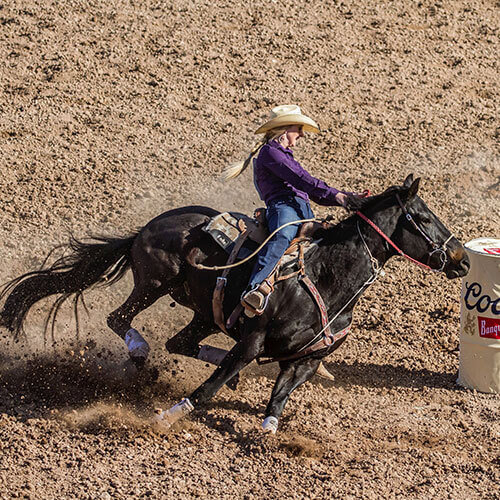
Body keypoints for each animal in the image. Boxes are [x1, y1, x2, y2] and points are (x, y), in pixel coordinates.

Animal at [0, 177, 468, 434]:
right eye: (424, 218)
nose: (462, 258)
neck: (327, 276)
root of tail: (151, 225)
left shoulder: (304, 360)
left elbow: (277, 401)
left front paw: (270, 433)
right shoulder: (252, 341)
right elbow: (207, 391)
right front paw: (168, 417)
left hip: (204, 313)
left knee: (179, 343)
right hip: (155, 282)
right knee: (121, 319)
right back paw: (139, 350)